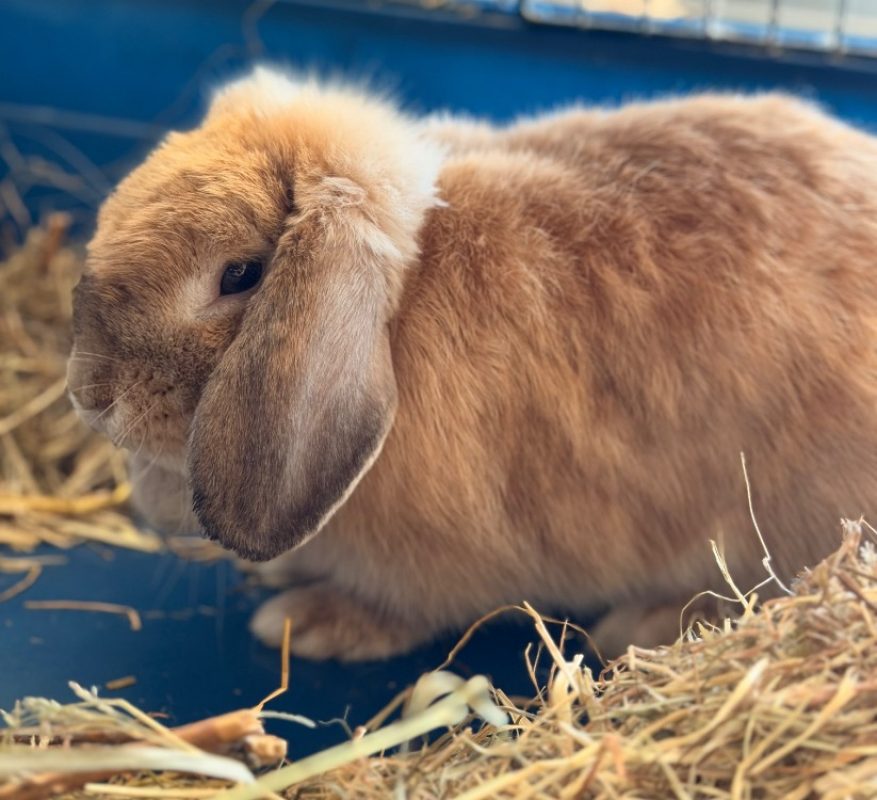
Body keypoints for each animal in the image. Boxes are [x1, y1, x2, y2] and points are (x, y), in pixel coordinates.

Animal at [68, 66, 877, 661]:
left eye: (239, 275)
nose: (89, 395)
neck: (394, 321)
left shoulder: (440, 567)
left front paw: (307, 620)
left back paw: (644, 626)